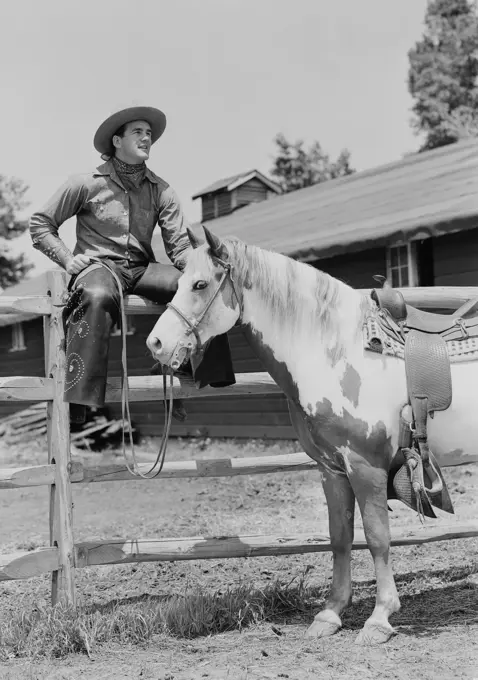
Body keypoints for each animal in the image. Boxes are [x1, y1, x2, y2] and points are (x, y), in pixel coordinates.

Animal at [146, 227, 470, 644]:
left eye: (200, 284)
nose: (156, 343)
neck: (335, 350)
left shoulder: (366, 467)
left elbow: (377, 537)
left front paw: (380, 619)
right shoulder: (332, 469)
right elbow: (340, 537)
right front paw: (330, 615)